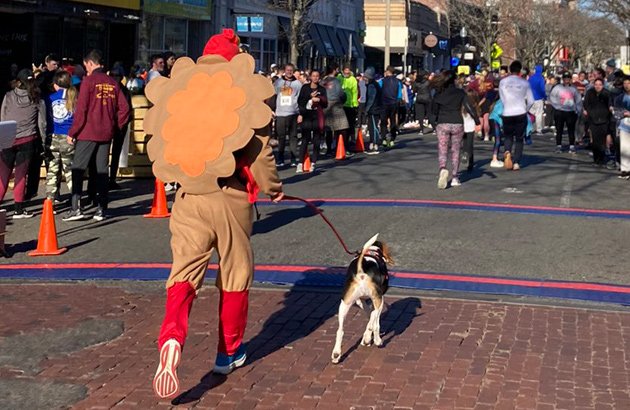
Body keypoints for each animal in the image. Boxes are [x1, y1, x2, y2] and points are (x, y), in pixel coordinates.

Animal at [334, 232, 392, 364]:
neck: (372, 251)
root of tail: (361, 271)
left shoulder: (359, 301)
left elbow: (368, 312)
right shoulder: (377, 299)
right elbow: (375, 321)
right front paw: (372, 338)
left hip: (344, 304)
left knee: (340, 331)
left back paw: (336, 354)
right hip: (379, 299)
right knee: (373, 318)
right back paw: (374, 340)